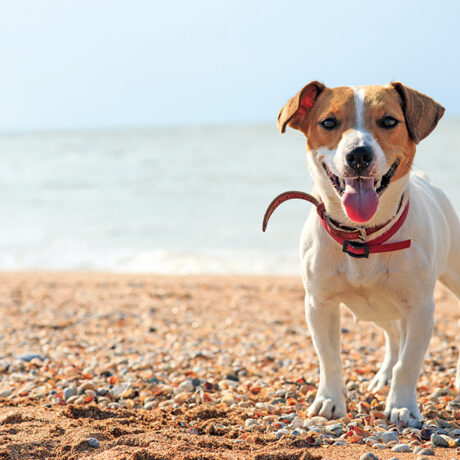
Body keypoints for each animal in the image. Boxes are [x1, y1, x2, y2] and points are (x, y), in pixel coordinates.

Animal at [266, 81, 460, 426]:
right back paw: (383, 376)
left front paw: (402, 405)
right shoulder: (319, 304)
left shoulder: (421, 308)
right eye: (329, 122)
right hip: (379, 308)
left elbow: (409, 363)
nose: (358, 155)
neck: (364, 236)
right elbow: (329, 358)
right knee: (393, 335)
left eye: (389, 121)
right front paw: (329, 401)